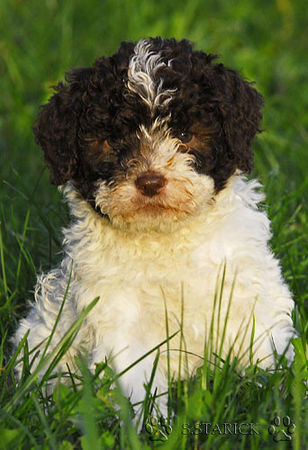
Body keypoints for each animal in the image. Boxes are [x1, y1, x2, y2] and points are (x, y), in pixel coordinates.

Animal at [13, 37, 294, 414]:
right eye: (114, 141)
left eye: (184, 132)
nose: (149, 181)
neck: (166, 239)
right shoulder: (122, 319)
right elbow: (137, 380)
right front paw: (151, 424)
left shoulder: (247, 296)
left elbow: (265, 356)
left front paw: (277, 403)